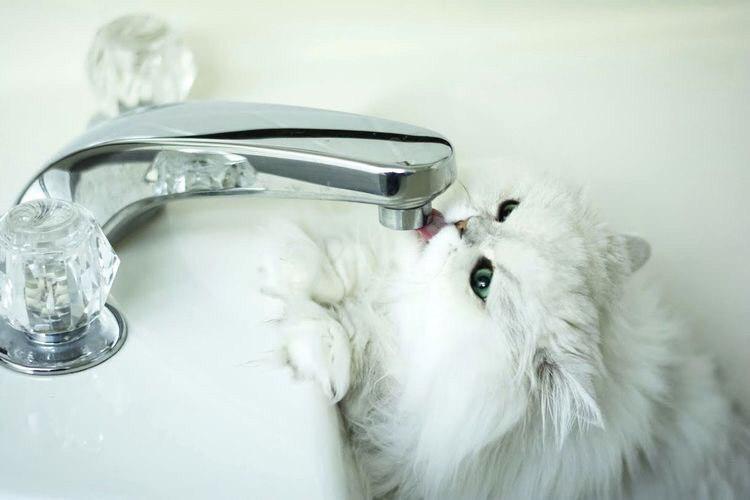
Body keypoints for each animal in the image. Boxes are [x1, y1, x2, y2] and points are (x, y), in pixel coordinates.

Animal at [258, 173, 748, 500]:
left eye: (483, 281)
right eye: (508, 210)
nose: (462, 227)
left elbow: (341, 333)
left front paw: (317, 348)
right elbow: (332, 263)